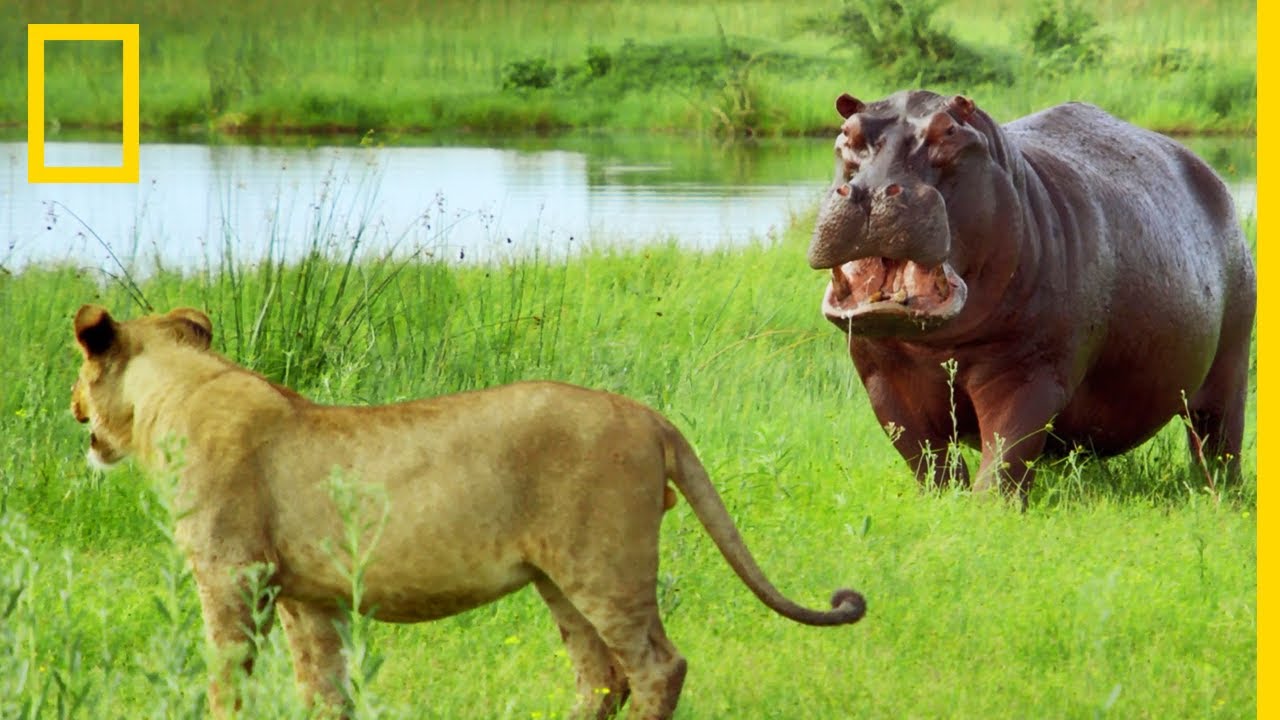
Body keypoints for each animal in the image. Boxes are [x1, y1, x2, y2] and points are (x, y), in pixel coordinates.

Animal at [70, 304, 866, 720]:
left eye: (78, 368)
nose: (74, 405)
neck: (172, 398)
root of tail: (645, 413)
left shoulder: (233, 575)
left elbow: (225, 677)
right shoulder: (308, 596)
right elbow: (323, 690)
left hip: (606, 566)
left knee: (657, 667)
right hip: (559, 580)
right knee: (600, 675)